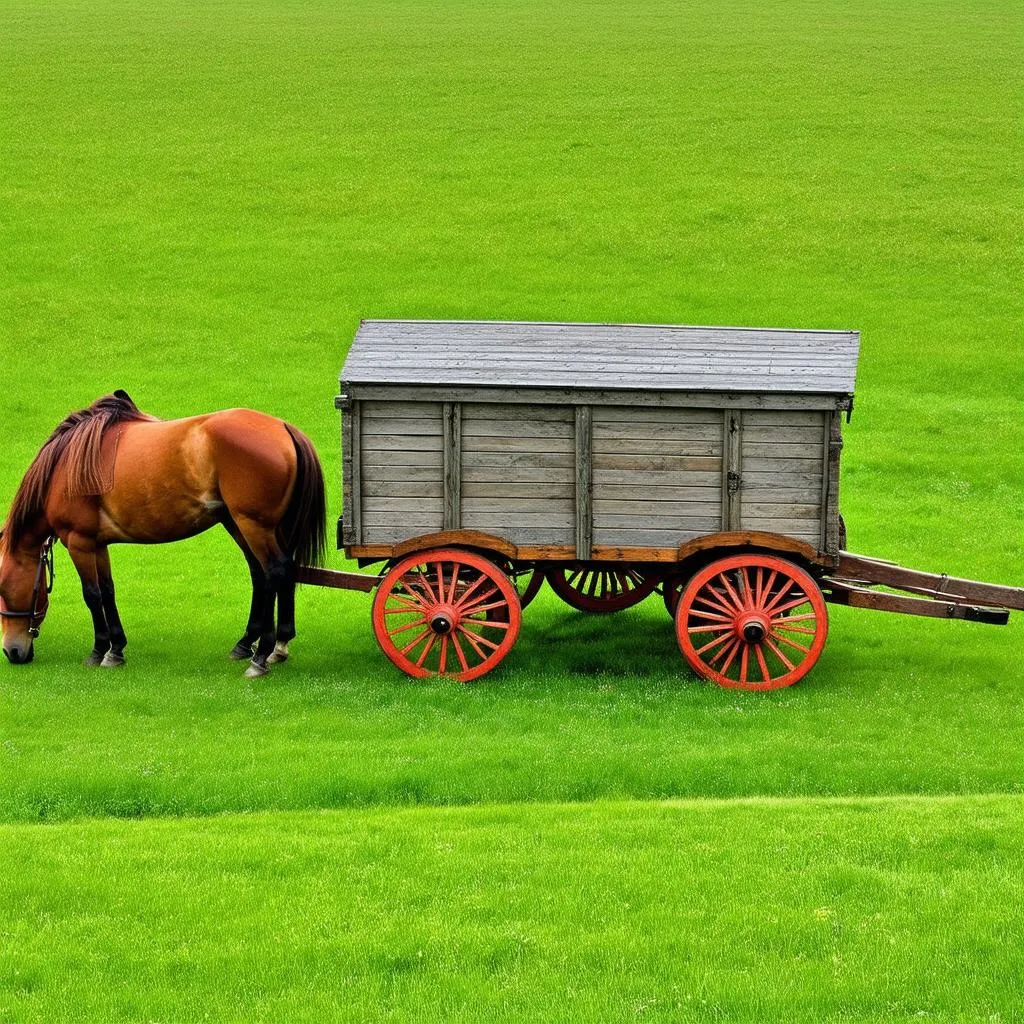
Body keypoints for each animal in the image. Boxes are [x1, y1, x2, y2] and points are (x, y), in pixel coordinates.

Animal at [0, 391, 323, 679]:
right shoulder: (98, 544)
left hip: (252, 524)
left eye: (2, 588)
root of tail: (282, 427)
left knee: (274, 571)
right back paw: (261, 644)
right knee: (267, 573)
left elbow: (92, 594)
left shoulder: (79, 541)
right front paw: (116, 649)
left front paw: (98, 649)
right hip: (243, 524)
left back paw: (261, 656)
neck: (64, 466)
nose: (11, 652)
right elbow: (107, 590)